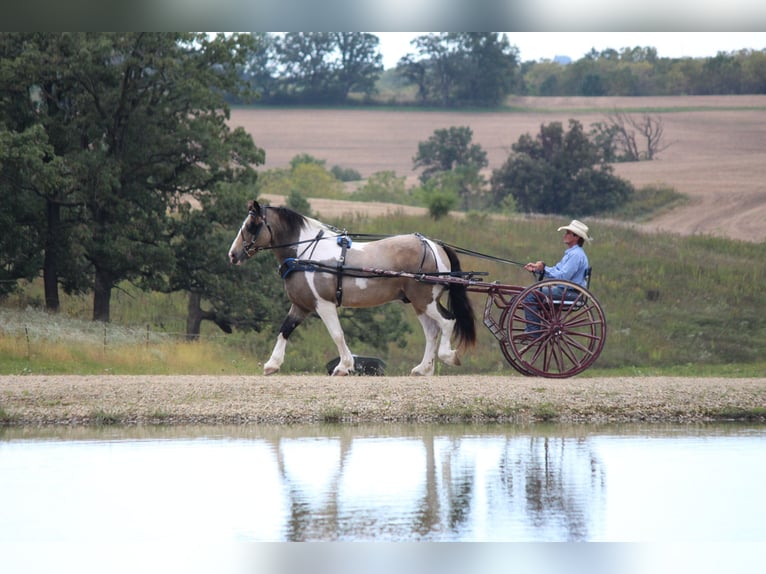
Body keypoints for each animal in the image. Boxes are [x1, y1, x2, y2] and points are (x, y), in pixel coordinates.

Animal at [226, 202, 474, 378]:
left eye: (250, 226)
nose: (232, 254)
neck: (306, 254)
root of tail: (434, 245)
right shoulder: (301, 305)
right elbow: (285, 329)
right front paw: (272, 364)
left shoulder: (323, 304)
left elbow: (337, 333)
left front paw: (344, 367)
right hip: (419, 303)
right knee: (432, 332)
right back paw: (424, 369)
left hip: (425, 300)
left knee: (447, 322)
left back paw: (448, 356)